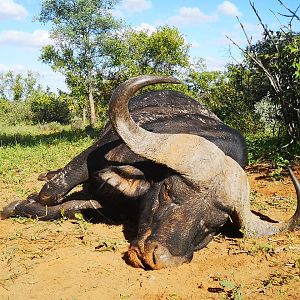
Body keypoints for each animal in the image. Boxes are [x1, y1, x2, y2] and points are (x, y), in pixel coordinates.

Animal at [1, 75, 298, 270]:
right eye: (167, 192)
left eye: (214, 226)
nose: (159, 258)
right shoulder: (93, 156)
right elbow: (51, 194)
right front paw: (17, 204)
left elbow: (77, 207)